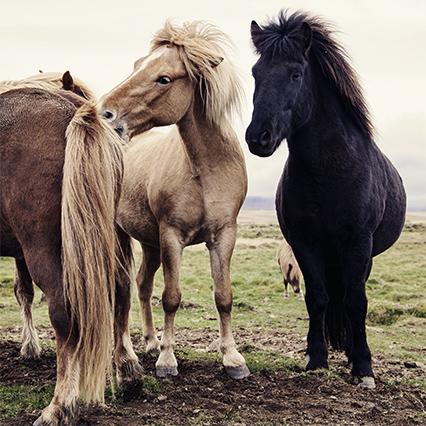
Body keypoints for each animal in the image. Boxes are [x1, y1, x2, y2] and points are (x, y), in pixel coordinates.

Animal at [1, 73, 125, 422]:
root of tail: (74, 112)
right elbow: (23, 291)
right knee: (121, 293)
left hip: (44, 250)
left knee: (65, 314)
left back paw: (59, 406)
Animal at [100, 20, 250, 380]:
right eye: (137, 66)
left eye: (164, 78)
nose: (105, 112)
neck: (207, 169)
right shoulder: (172, 236)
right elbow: (171, 297)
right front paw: (167, 360)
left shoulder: (224, 235)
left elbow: (224, 296)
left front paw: (232, 358)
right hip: (123, 235)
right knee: (123, 289)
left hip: (150, 242)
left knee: (141, 284)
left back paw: (150, 341)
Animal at [245, 10, 404, 390]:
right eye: (256, 73)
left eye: (296, 73)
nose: (258, 137)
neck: (329, 173)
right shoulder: (304, 243)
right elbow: (317, 297)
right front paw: (316, 358)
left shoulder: (359, 243)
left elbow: (356, 301)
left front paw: (363, 366)